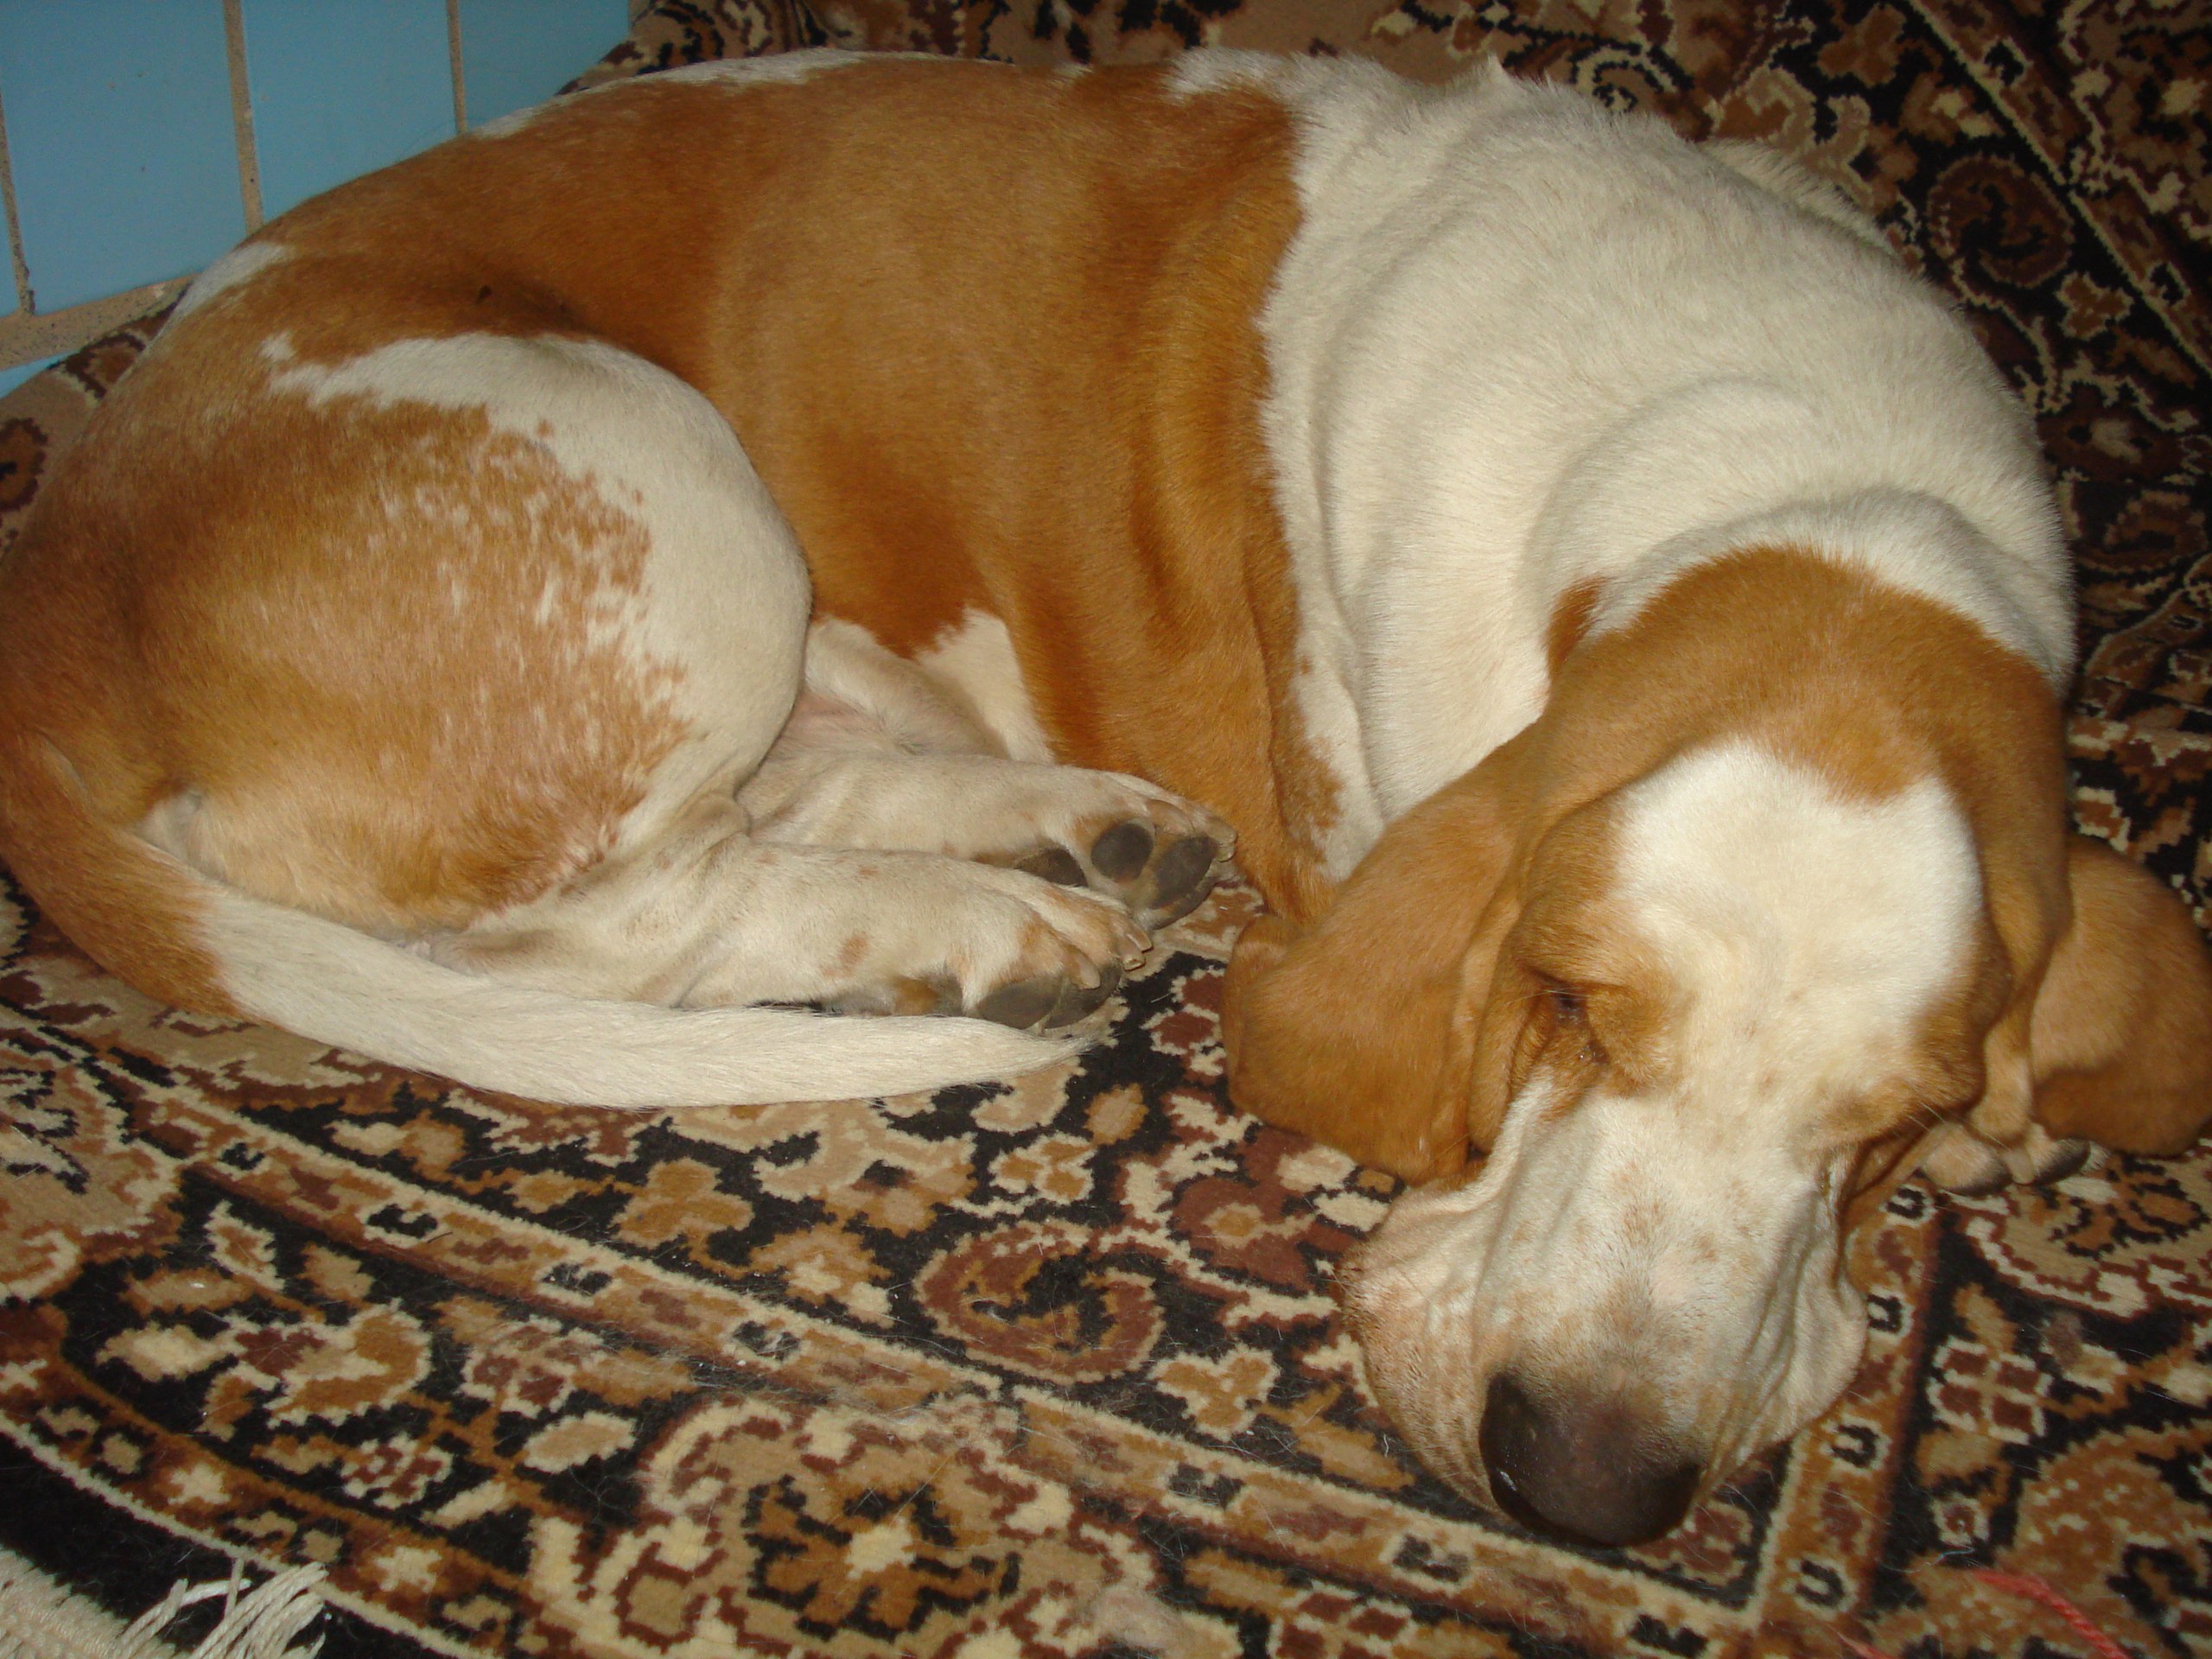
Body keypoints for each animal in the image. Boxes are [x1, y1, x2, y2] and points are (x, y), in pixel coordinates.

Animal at [2, 49, 2207, 1548]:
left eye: (1889, 1121)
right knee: (614, 922)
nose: (1583, 1486)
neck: (1776, 473)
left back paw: (1083, 833)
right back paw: (1001, 930)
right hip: (676, 500)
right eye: (1573, 1009)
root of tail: (68, 553)